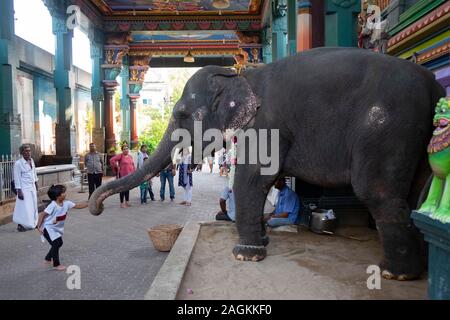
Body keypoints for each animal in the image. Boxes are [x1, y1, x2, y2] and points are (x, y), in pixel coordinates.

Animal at [89, 47, 444, 280]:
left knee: (377, 192)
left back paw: (394, 274)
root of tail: (432, 83)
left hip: (388, 126)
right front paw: (261, 244)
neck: (238, 76)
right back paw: (417, 269)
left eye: (181, 114)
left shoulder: (265, 124)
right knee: (414, 193)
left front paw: (245, 255)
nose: (96, 209)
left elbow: (251, 179)